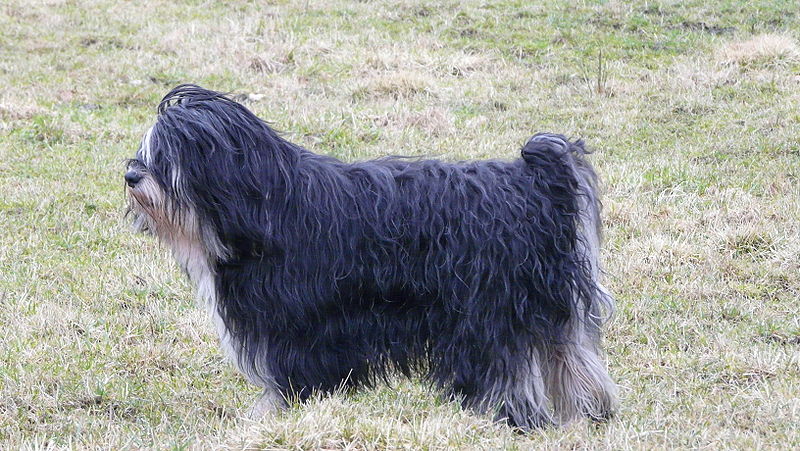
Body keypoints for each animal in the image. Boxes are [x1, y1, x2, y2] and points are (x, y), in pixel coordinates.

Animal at [123, 84, 620, 430]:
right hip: (547, 304)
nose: (130, 175)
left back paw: (516, 419)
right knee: (572, 358)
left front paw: (272, 416)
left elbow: (289, 376)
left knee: (507, 369)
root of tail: (532, 180)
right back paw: (589, 414)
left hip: (486, 311)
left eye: (167, 157)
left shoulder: (294, 321)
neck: (267, 202)